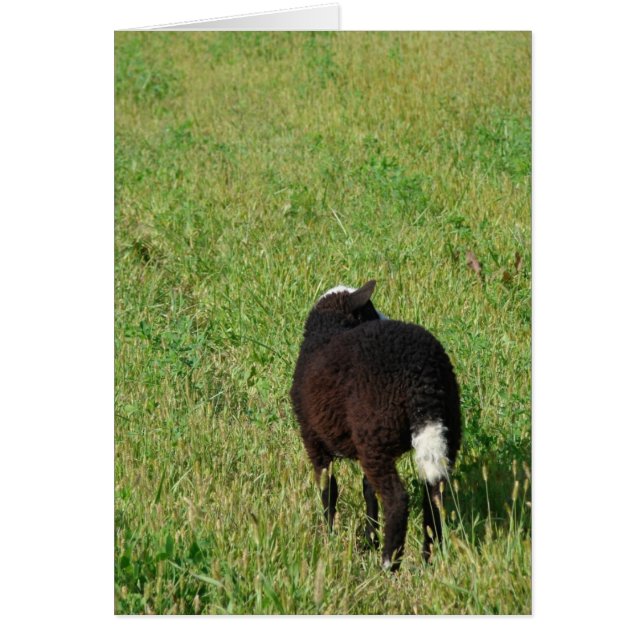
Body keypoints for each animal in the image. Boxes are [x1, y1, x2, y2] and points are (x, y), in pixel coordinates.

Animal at [290, 280, 461, 571]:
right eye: (370, 310)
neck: (328, 332)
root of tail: (424, 378)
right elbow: (367, 489)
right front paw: (369, 538)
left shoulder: (313, 438)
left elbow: (328, 489)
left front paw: (330, 534)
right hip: (445, 429)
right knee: (435, 493)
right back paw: (428, 557)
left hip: (375, 435)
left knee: (397, 500)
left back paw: (388, 563)